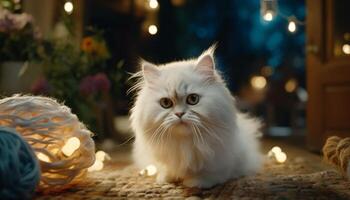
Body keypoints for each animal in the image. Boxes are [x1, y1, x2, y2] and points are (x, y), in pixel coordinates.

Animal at [131, 46, 262, 188]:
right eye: (165, 103)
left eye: (193, 99)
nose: (179, 114)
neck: (185, 143)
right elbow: (166, 169)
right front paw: (166, 179)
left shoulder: (226, 160)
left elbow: (214, 173)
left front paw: (195, 183)